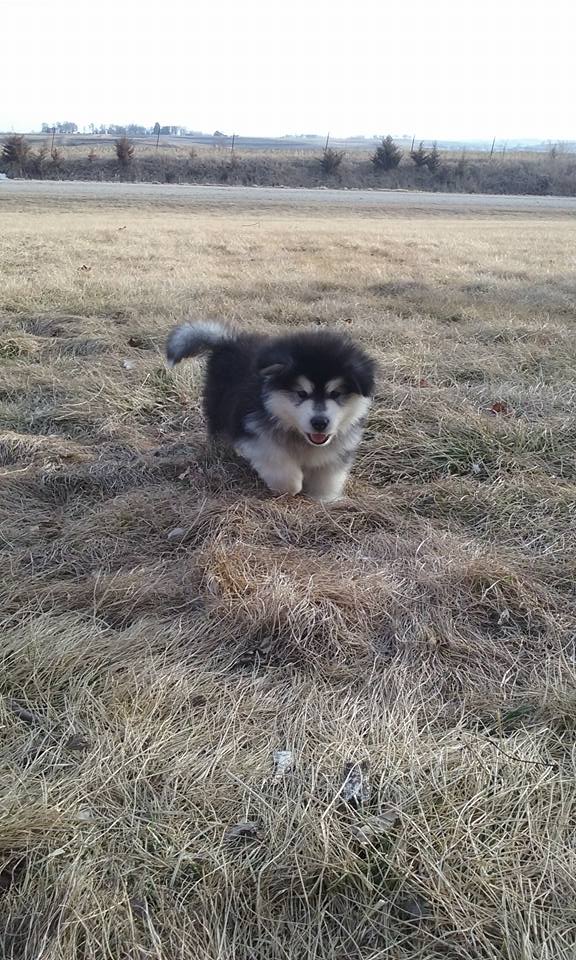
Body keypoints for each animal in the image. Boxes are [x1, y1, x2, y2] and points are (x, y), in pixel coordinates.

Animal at [164, 322, 376, 502]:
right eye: (301, 393)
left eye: (335, 393)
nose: (319, 423)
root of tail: (228, 341)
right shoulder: (254, 434)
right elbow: (281, 467)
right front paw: (290, 488)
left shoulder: (337, 447)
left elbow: (328, 475)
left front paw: (324, 498)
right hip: (219, 403)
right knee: (218, 426)